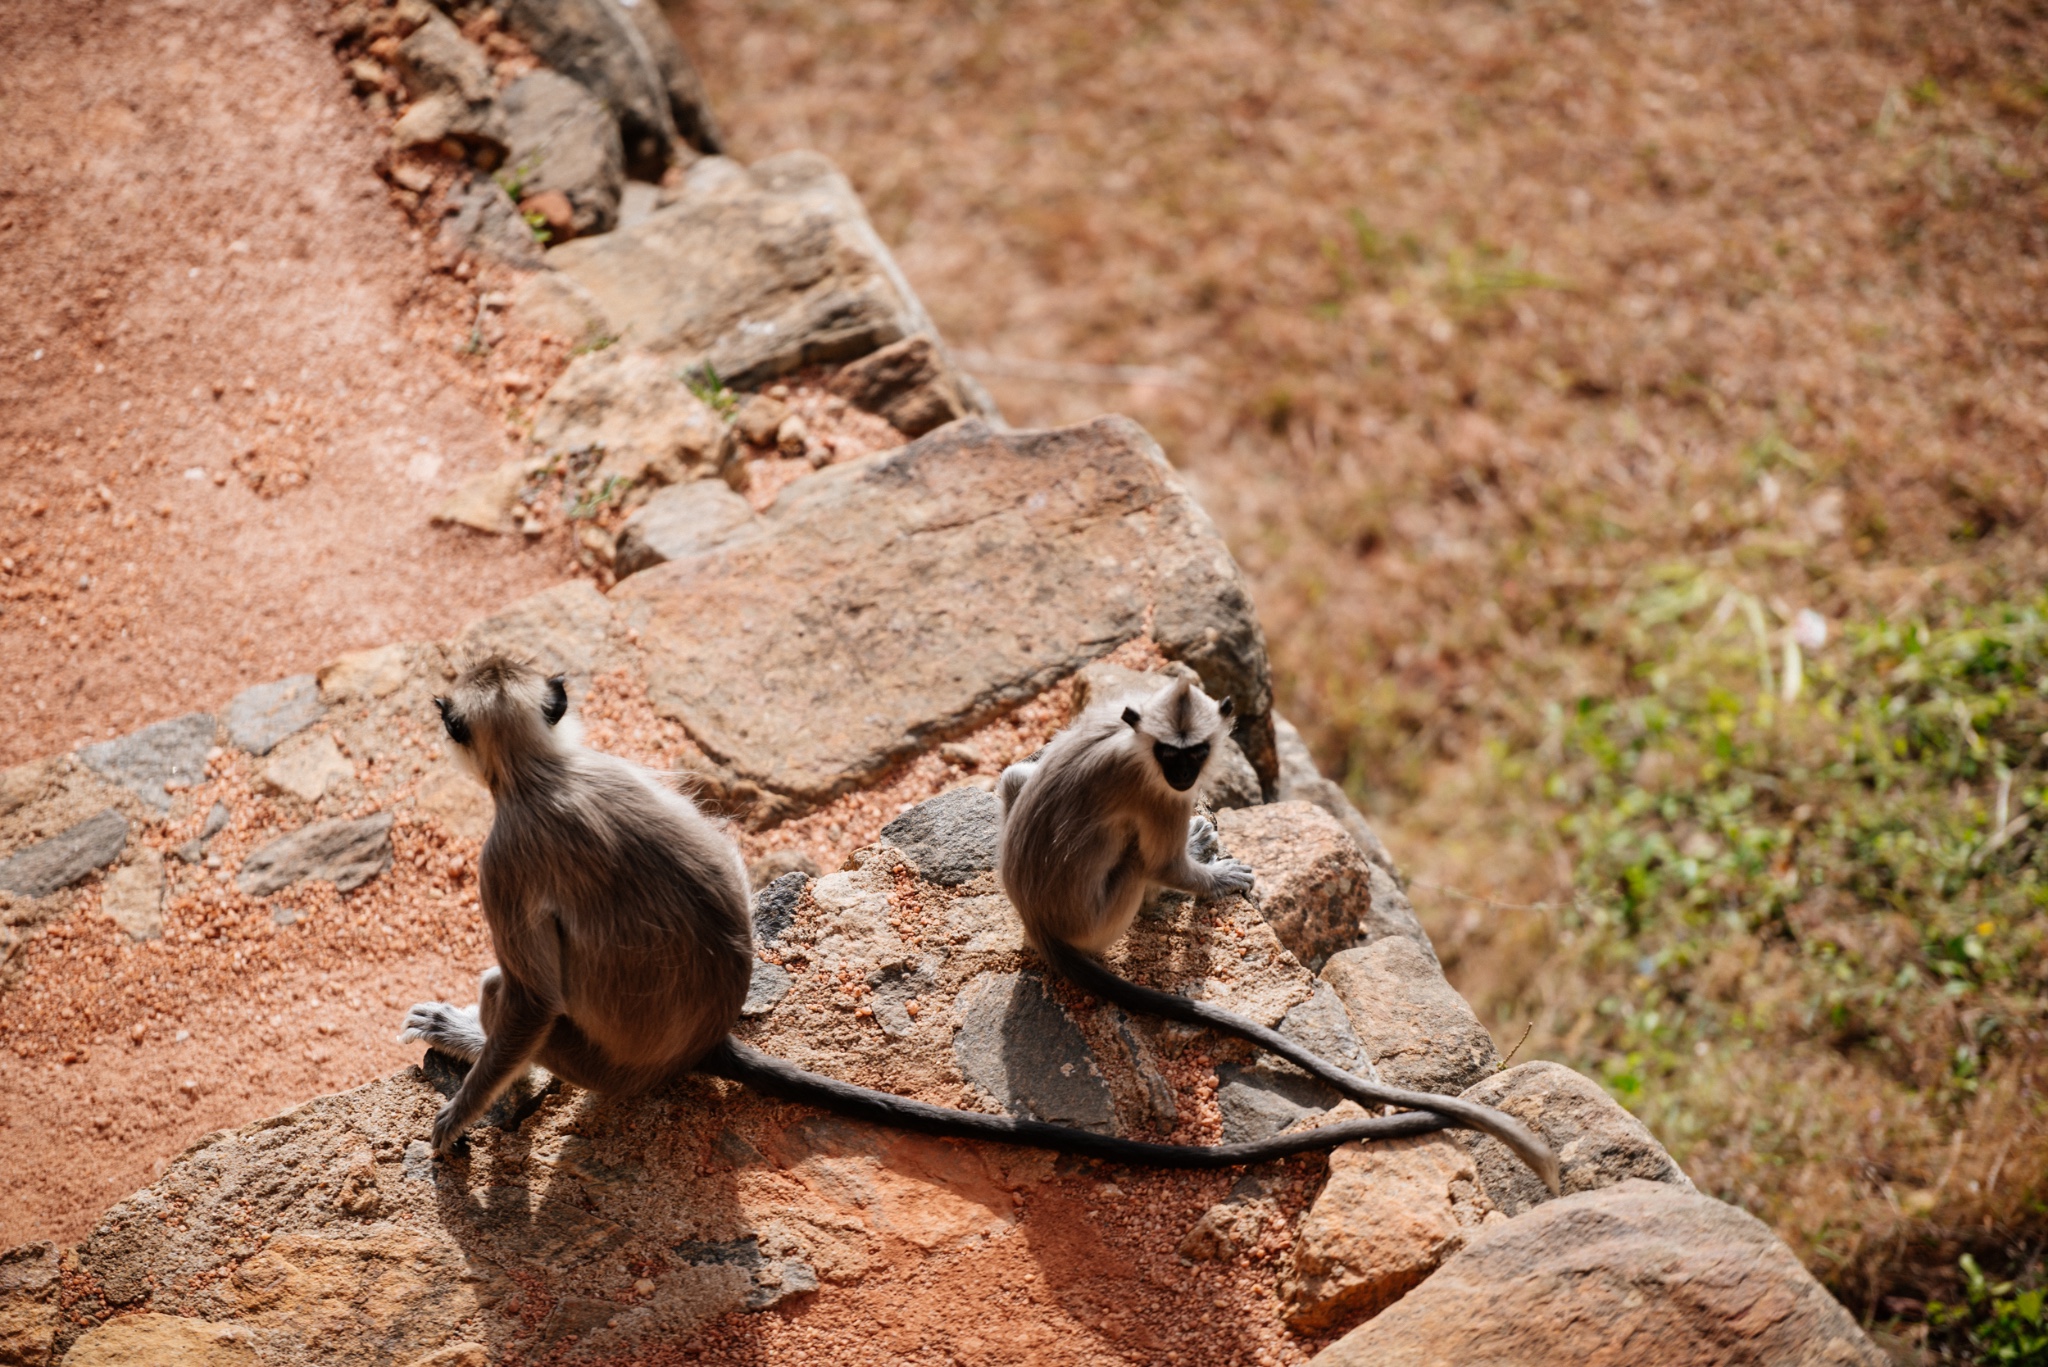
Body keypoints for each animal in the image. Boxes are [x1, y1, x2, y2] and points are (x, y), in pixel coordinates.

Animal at [395, 659, 1458, 1164]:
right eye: (1183, 752)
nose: (1194, 771)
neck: (541, 770)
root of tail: (702, 1043)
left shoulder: (511, 844)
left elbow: (533, 991)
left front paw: (456, 1114)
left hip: (600, 1058)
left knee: (516, 991)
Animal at [999, 680, 1556, 1188]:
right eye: (1170, 755)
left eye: (1194, 752)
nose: (1183, 775)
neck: (1131, 743)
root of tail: (1038, 921)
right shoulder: (1158, 796)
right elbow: (1163, 862)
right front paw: (1212, 872)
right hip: (1106, 913)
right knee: (1140, 858)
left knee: (1013, 775)